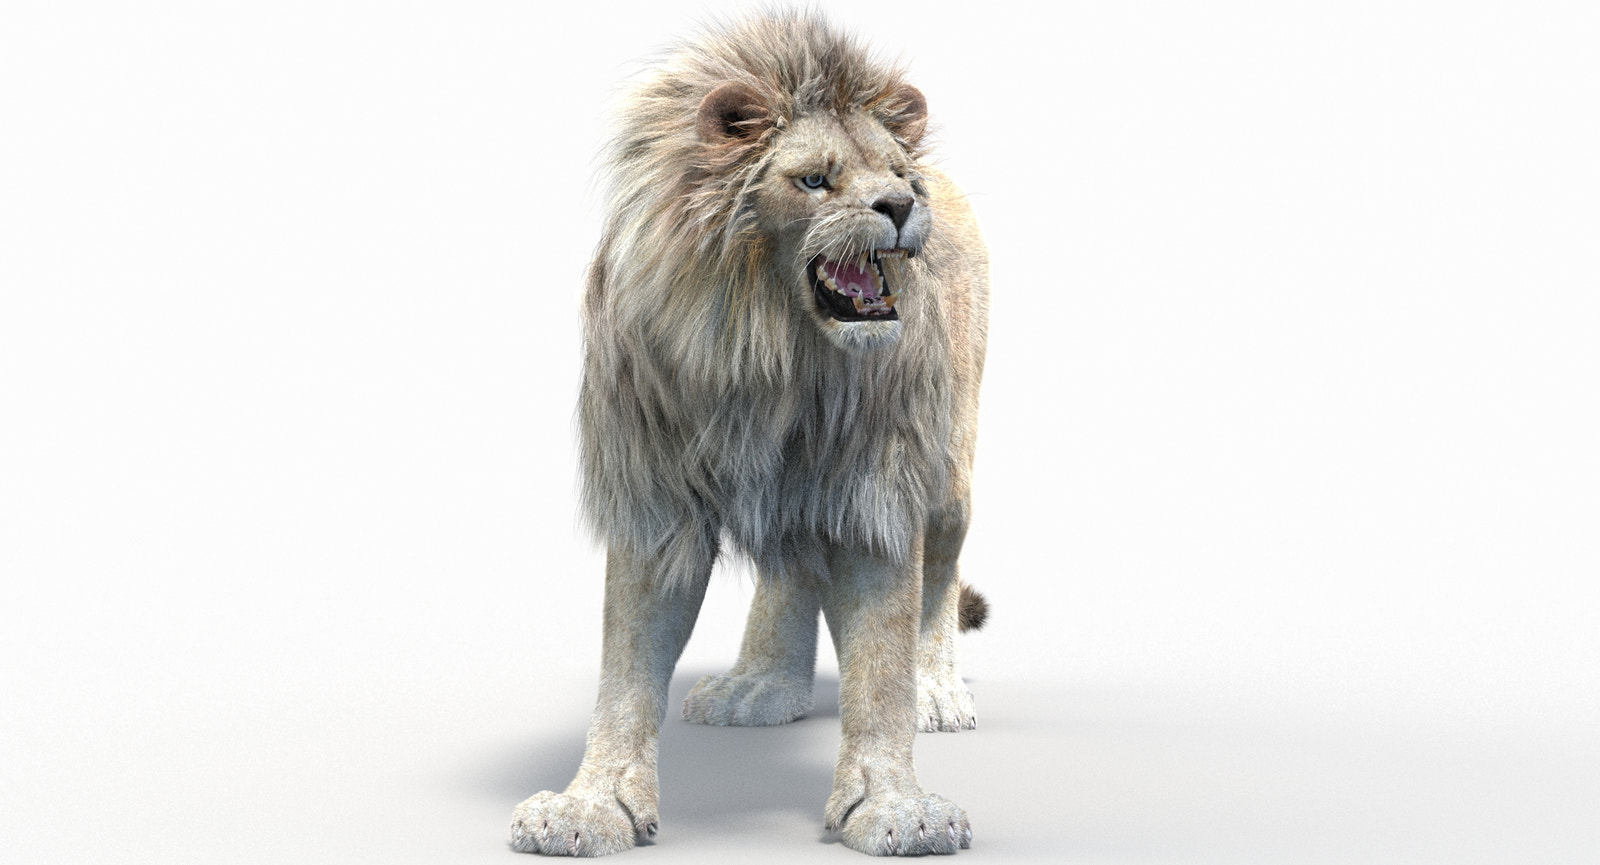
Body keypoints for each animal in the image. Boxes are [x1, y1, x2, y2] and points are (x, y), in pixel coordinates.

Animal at [512, 12, 991, 857]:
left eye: (897, 172)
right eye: (814, 180)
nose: (903, 204)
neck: (768, 355)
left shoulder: (877, 487)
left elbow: (881, 661)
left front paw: (897, 806)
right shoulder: (653, 489)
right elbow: (625, 665)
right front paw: (588, 805)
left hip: (950, 472)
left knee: (938, 577)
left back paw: (937, 688)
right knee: (790, 565)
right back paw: (761, 685)